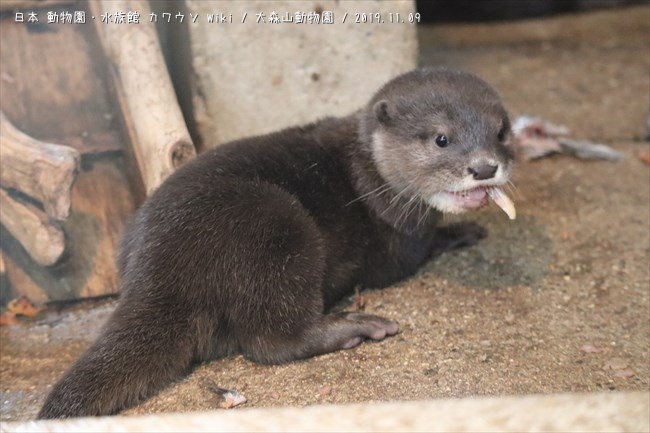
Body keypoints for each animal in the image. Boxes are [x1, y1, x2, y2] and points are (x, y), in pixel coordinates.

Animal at [39, 69, 516, 416]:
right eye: (441, 138)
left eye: (501, 133)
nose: (484, 168)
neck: (368, 169)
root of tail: (156, 267)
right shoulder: (397, 232)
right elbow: (415, 251)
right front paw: (461, 231)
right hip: (277, 228)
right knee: (270, 340)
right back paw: (353, 326)